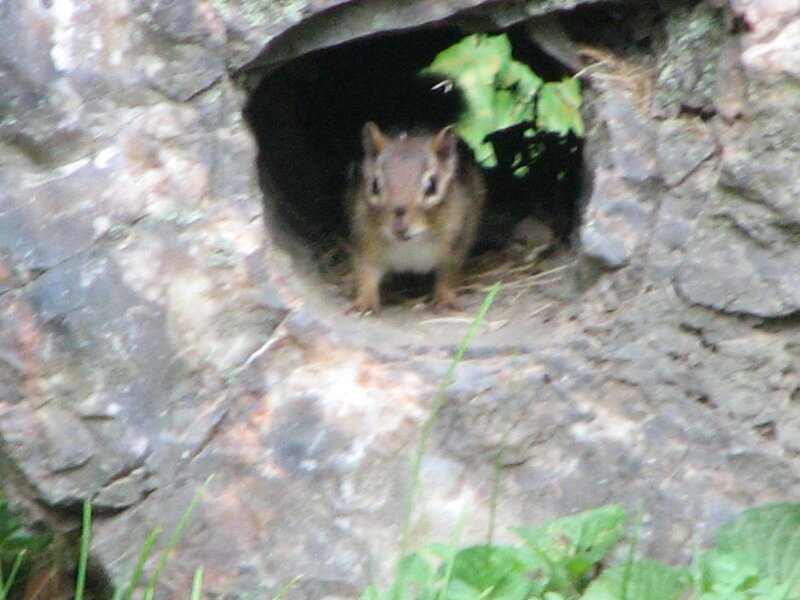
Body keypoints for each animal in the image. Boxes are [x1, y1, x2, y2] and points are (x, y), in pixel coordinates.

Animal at [347, 122, 486, 314]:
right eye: (374, 185)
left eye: (432, 186)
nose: (399, 224)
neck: (410, 244)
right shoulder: (363, 241)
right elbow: (365, 274)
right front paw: (364, 302)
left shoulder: (456, 245)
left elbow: (448, 276)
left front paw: (445, 300)